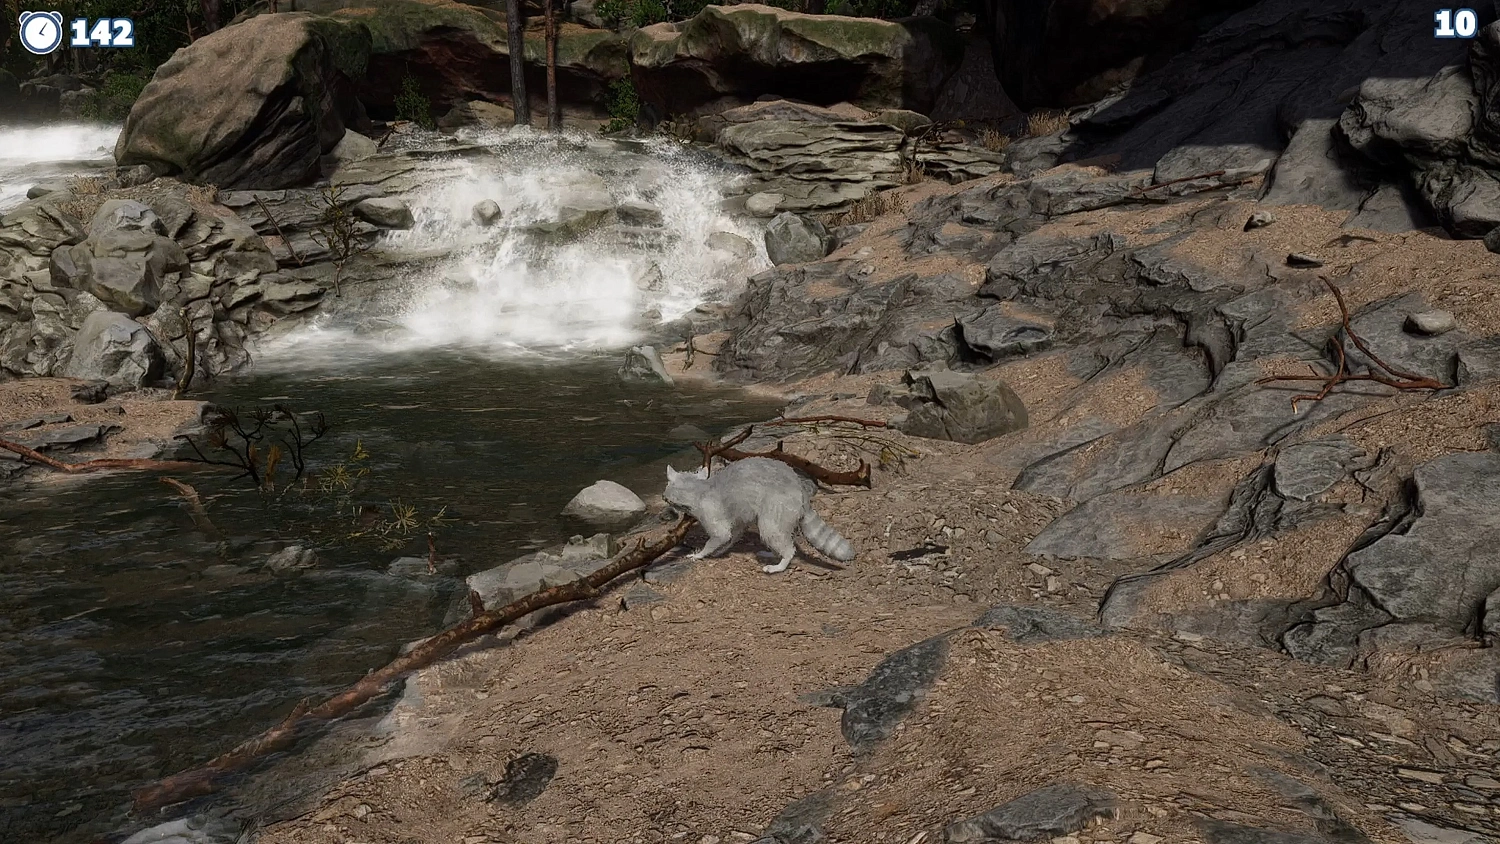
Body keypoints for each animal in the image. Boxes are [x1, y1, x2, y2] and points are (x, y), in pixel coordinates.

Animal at [663, 457, 856, 574]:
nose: (663, 497)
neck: (699, 488)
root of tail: (800, 488)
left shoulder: (710, 510)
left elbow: (721, 535)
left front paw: (701, 553)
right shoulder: (735, 513)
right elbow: (734, 533)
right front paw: (723, 548)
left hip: (777, 504)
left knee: (772, 532)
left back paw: (783, 560)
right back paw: (774, 552)